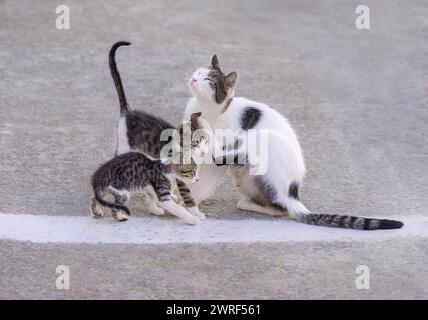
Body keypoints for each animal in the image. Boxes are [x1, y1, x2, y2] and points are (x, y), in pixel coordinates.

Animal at [107, 41, 207, 219]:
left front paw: (169, 195)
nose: (203, 151)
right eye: (195, 143)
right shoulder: (181, 172)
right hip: (124, 146)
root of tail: (127, 112)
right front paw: (196, 213)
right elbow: (188, 195)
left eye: (203, 140)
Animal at [182, 55, 402, 230]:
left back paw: (247, 204)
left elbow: (206, 178)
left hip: (259, 148)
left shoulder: (219, 157)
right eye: (199, 71)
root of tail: (293, 193)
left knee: (280, 208)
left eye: (208, 80)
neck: (206, 110)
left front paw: (189, 202)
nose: (194, 78)